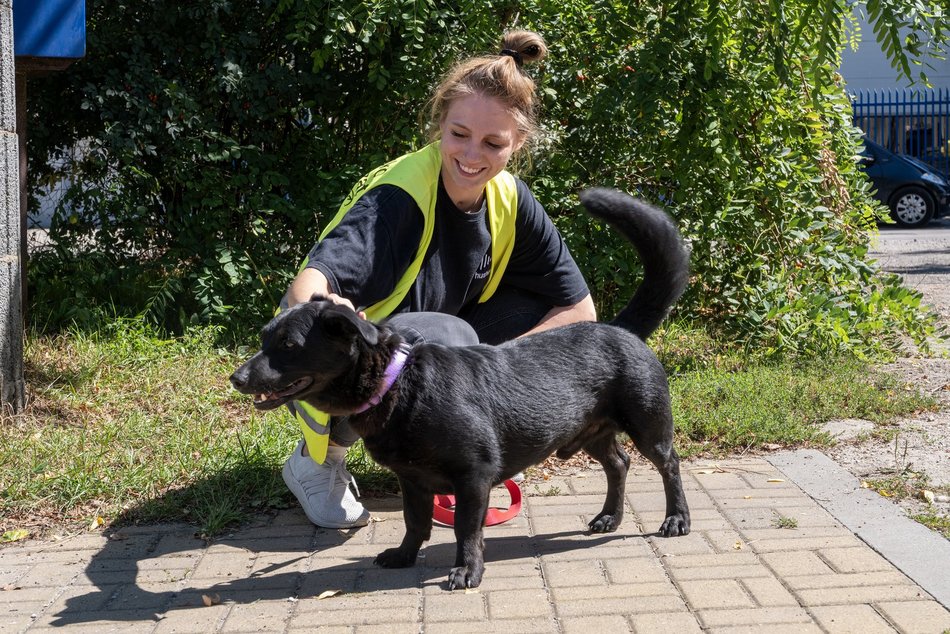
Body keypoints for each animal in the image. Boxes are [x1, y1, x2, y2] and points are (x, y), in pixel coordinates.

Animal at [231, 188, 692, 588]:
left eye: (289, 345)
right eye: (264, 339)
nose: (238, 378)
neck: (401, 386)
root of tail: (620, 329)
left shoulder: (474, 478)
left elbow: (466, 531)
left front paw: (467, 570)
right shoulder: (413, 481)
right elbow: (415, 522)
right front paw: (404, 555)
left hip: (648, 424)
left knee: (668, 465)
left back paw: (677, 519)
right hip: (592, 431)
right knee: (618, 464)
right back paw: (609, 517)